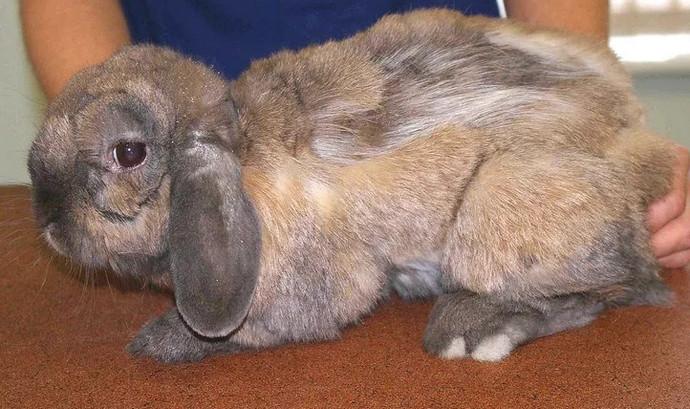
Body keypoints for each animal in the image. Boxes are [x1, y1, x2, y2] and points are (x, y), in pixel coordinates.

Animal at [28, 8, 675, 363]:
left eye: (129, 153)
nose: (49, 222)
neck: (241, 155)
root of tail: (644, 152)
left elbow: (250, 332)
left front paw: (160, 342)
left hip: (500, 210)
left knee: (605, 292)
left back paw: (470, 328)